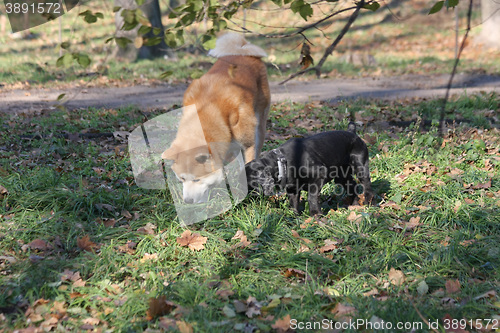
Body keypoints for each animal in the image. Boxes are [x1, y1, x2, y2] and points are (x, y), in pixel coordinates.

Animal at [161, 33, 270, 202]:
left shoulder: (247, 143)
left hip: (259, 121)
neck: (210, 110)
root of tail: (242, 51)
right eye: (182, 178)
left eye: (197, 180)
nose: (188, 201)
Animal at [244, 122, 374, 215]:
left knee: (367, 186)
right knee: (353, 186)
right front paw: (294, 218)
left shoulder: (319, 175)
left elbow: (311, 197)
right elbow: (293, 203)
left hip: (361, 168)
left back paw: (368, 203)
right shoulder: (292, 188)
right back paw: (354, 205)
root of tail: (353, 133)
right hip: (342, 178)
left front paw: (316, 215)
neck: (281, 162)